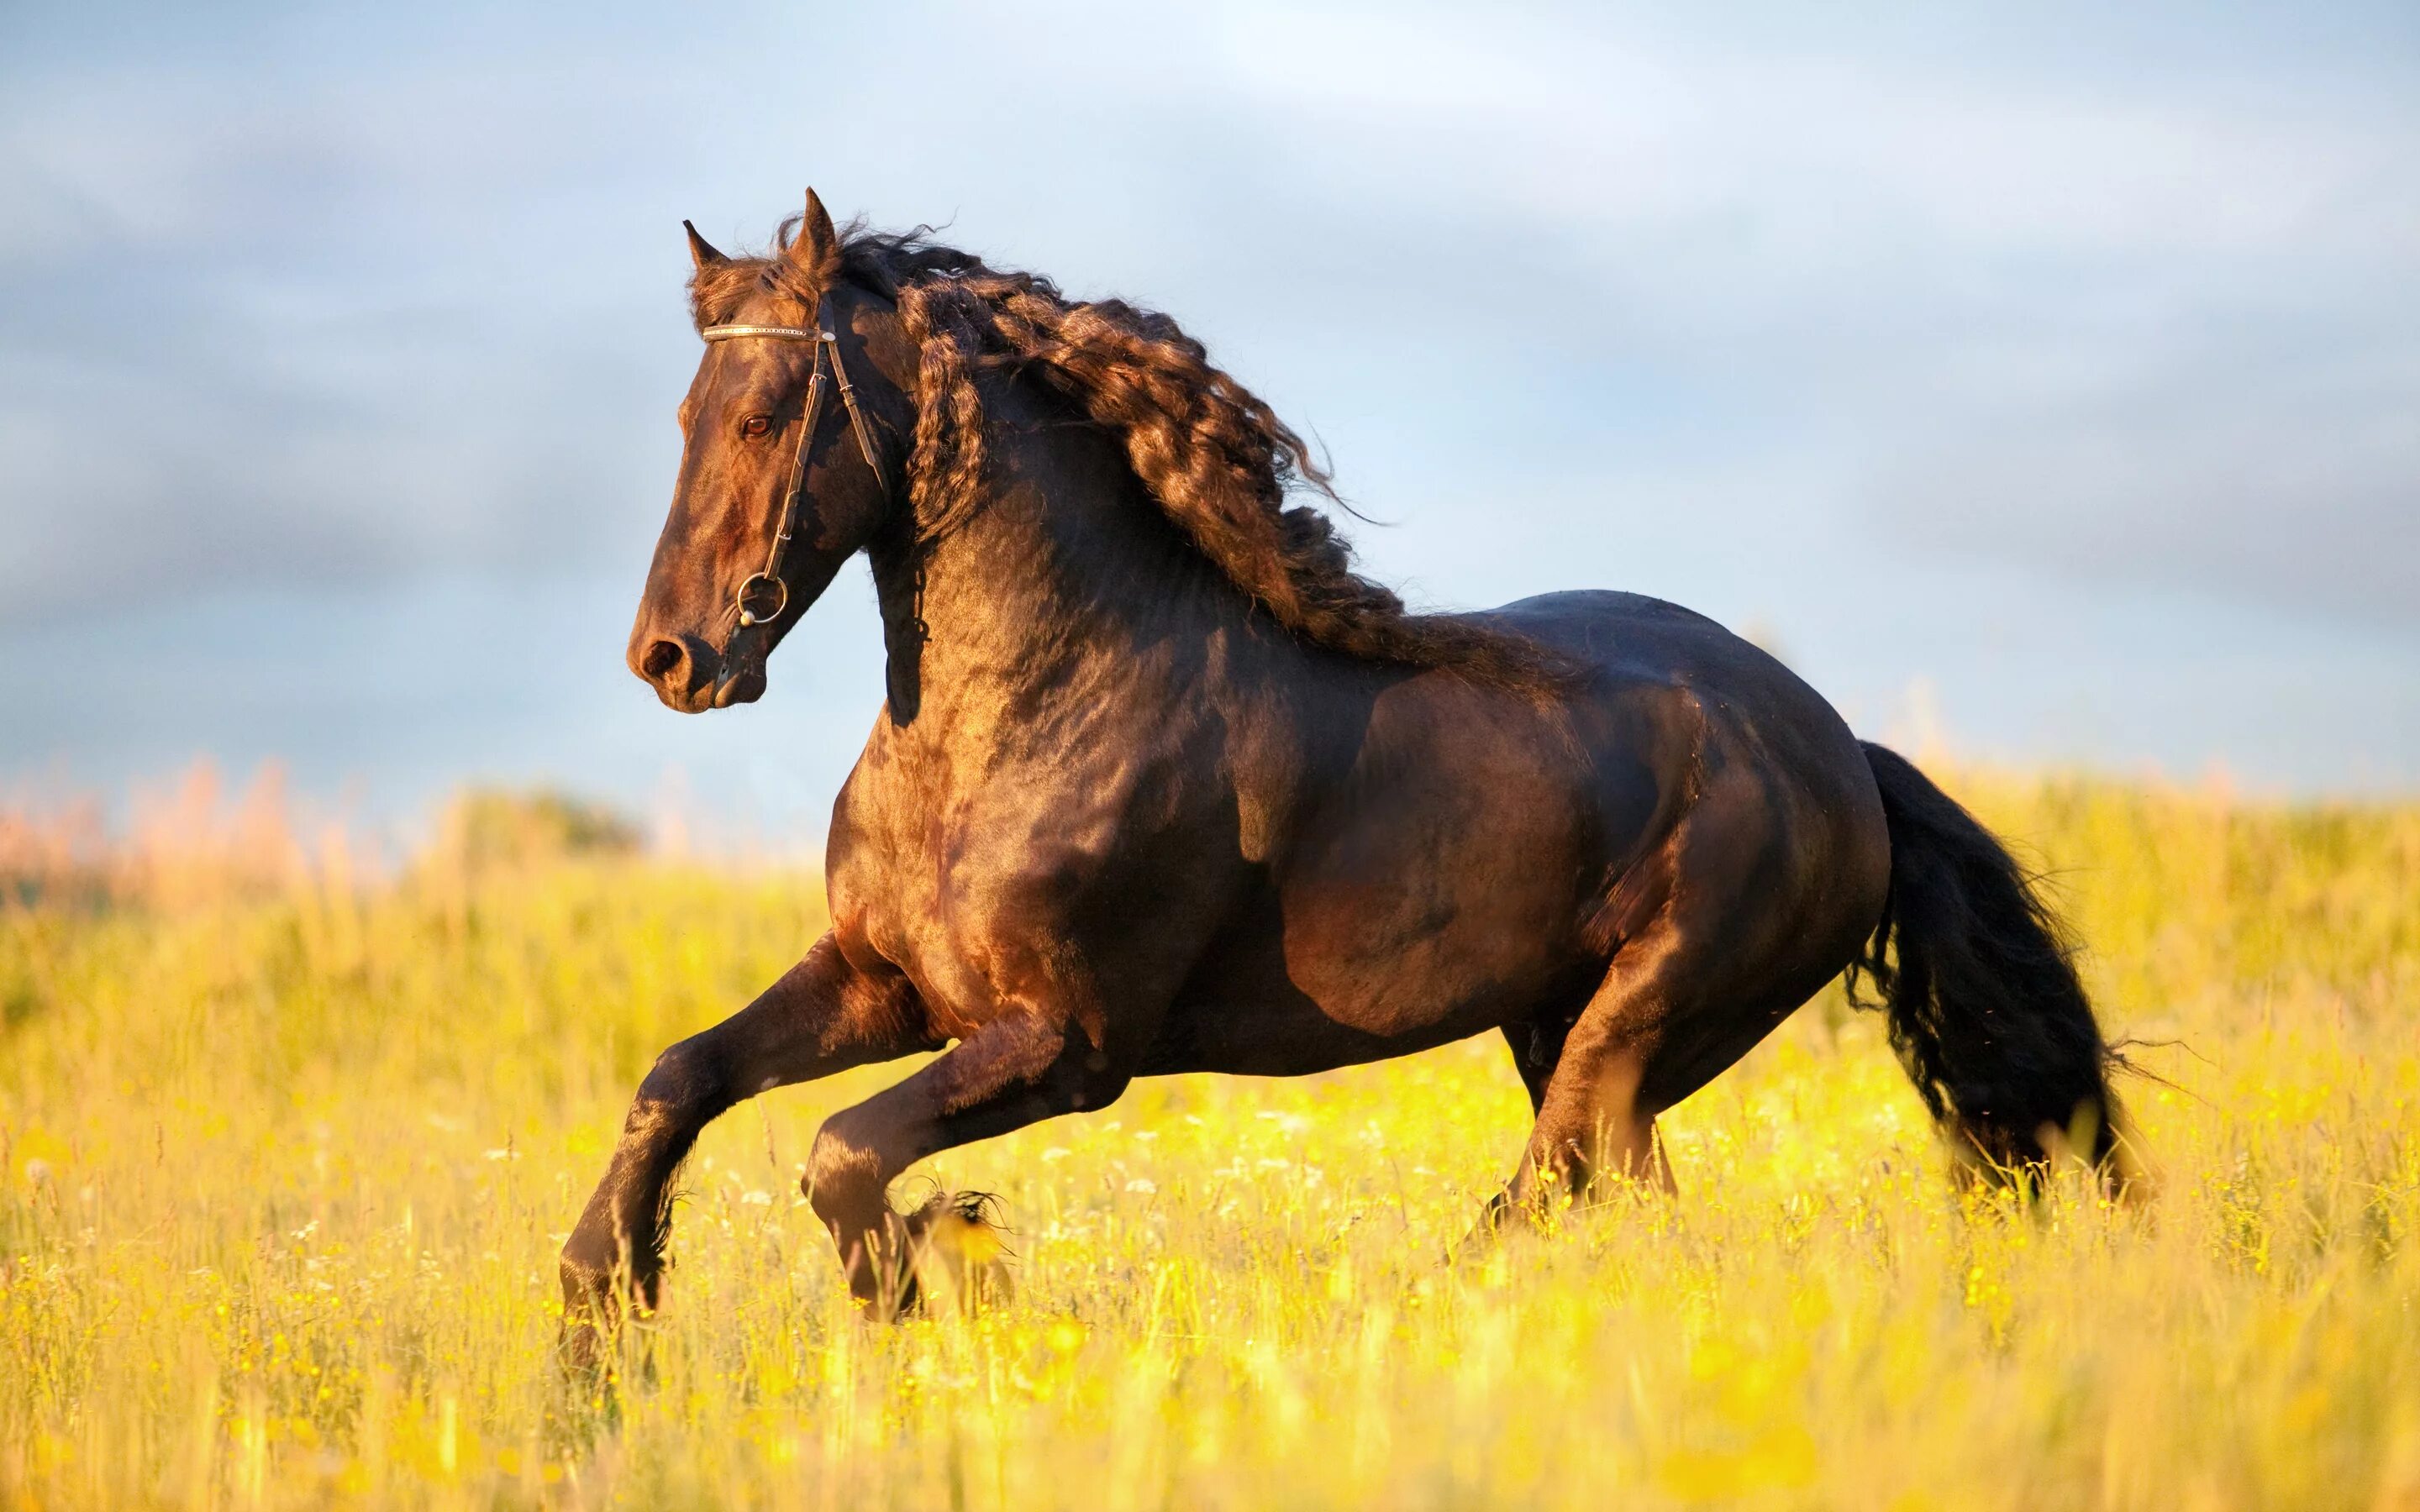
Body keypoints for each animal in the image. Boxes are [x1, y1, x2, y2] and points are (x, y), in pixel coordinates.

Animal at [556, 191, 2129, 1345]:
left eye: (766, 415)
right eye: (686, 417)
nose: (673, 659)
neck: (1020, 720)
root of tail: (1839, 751)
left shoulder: (1069, 1044)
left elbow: (839, 1154)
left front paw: (934, 1281)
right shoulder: (888, 984)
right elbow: (679, 1080)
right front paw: (600, 1320)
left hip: (1642, 1022)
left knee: (1549, 1189)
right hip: (1567, 1029)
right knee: (1622, 1204)